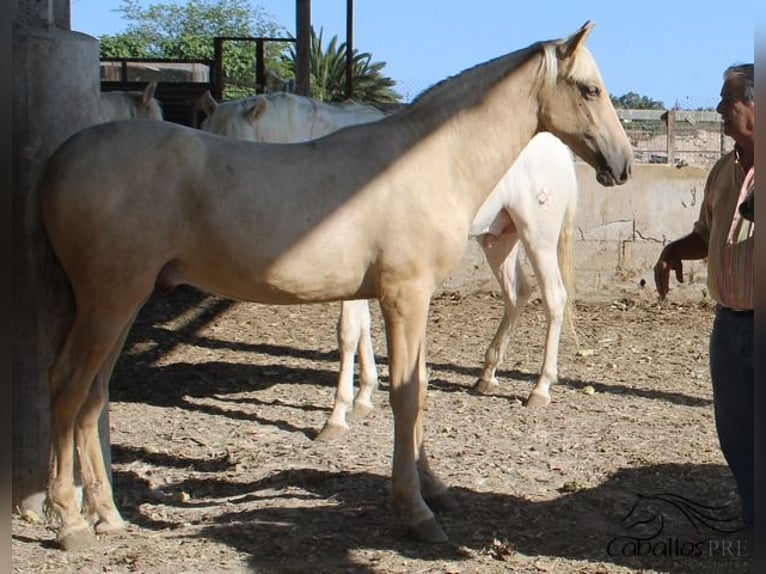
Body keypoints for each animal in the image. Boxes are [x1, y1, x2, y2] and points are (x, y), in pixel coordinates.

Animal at [201, 92, 580, 440]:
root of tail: (557, 145)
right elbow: (364, 327)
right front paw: (364, 398)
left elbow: (348, 332)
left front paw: (336, 417)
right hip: (498, 238)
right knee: (517, 294)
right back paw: (487, 376)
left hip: (537, 235)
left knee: (553, 298)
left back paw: (540, 388)